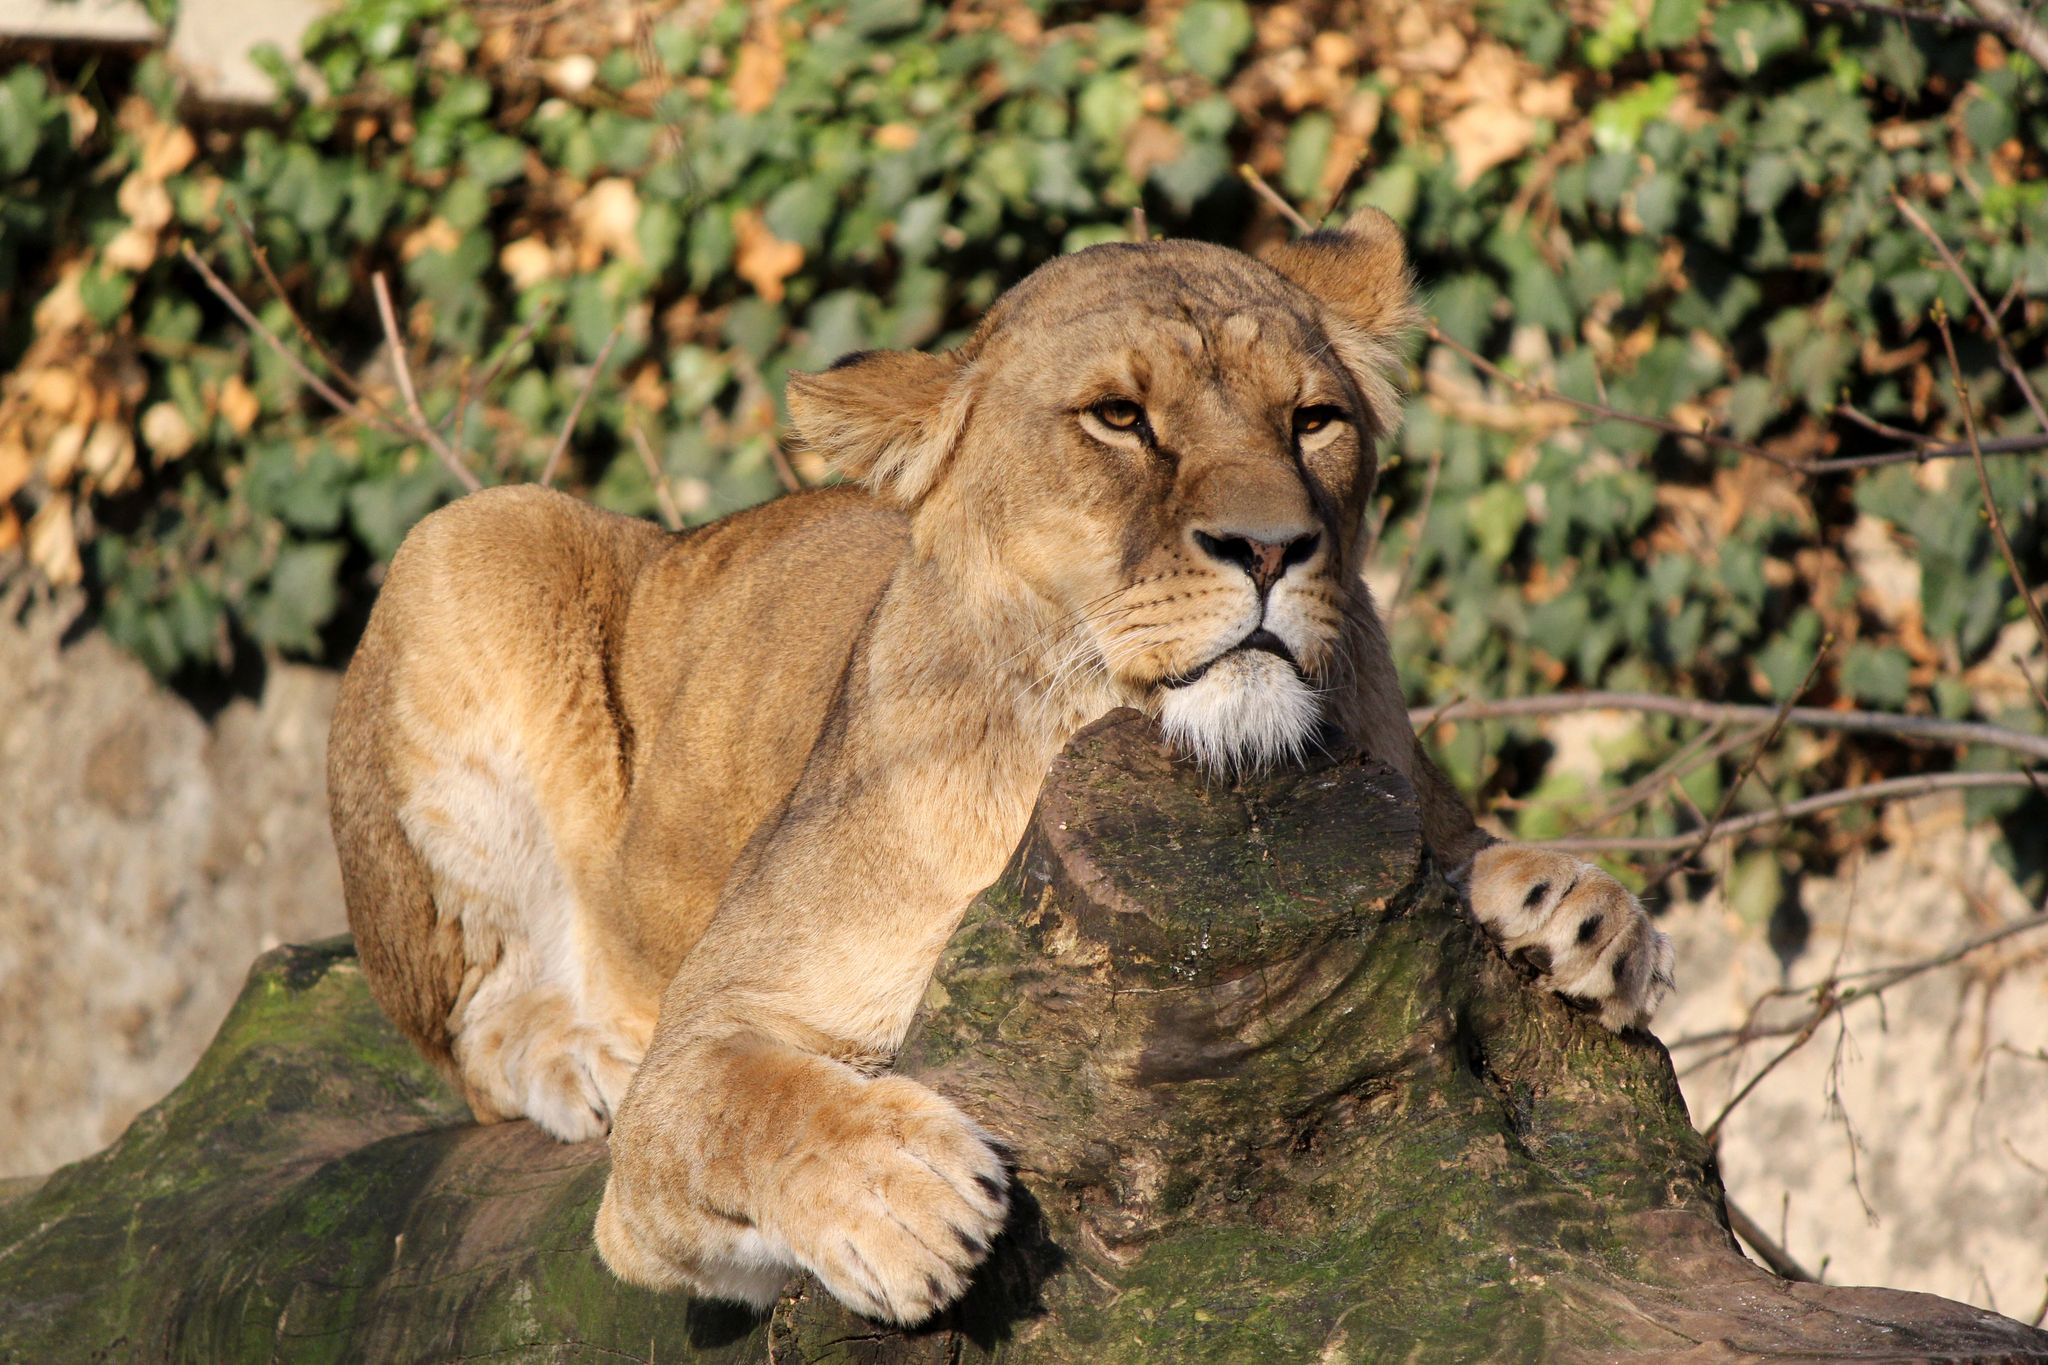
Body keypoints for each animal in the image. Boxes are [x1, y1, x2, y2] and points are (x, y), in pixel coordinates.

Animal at [327, 207, 1674, 1326]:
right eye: (1119, 418)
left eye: (1312, 421)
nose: (1272, 547)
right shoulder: (702, 1056)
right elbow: (735, 1099)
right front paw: (902, 1194)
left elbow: (1462, 841)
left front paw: (1569, 912)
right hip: (474, 536)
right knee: (471, 1042)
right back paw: (580, 1057)